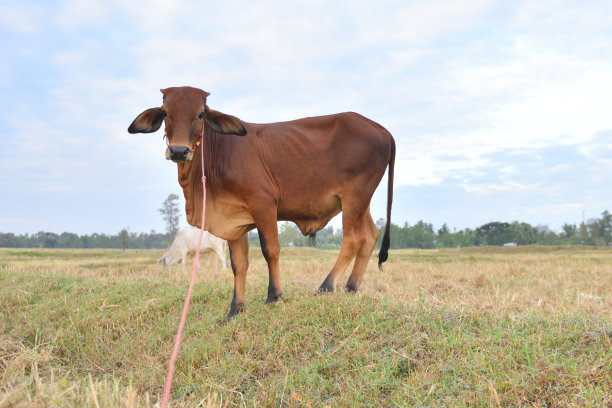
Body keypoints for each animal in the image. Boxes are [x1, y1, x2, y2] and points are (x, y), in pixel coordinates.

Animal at [130, 86, 396, 320]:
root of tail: (382, 129)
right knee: (370, 235)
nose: (178, 151)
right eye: (165, 112)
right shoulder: (233, 221)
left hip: (354, 196)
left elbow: (271, 250)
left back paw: (326, 286)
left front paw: (274, 295)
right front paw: (235, 309)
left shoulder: (264, 204)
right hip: (361, 200)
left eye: (201, 114)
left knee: (352, 239)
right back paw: (351, 287)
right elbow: (239, 264)